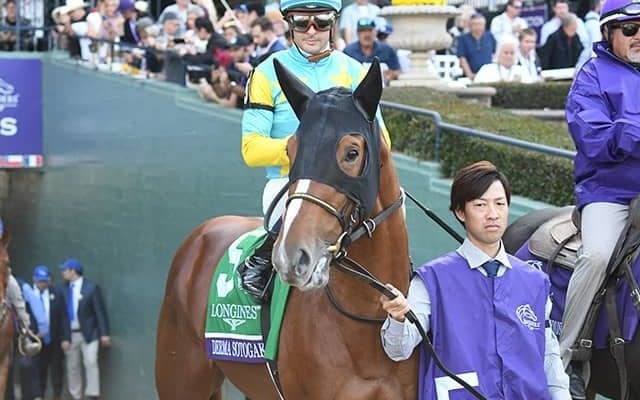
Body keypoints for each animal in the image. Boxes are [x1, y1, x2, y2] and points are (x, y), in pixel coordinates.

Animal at [155, 59, 418, 399]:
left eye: (351, 153)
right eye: (291, 151)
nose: (292, 257)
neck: (365, 322)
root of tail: (200, 235)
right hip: (181, 377)